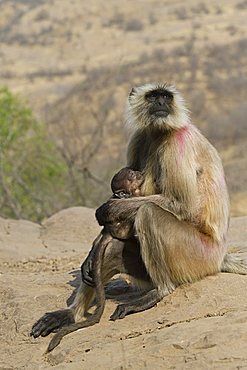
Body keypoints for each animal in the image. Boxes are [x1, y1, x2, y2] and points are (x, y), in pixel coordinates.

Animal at [30, 82, 247, 352]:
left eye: (166, 97)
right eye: (153, 97)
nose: (161, 104)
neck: (159, 132)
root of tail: (219, 257)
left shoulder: (179, 142)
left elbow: (183, 205)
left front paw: (107, 209)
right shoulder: (139, 137)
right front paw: (89, 256)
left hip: (197, 257)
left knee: (148, 213)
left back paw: (160, 292)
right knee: (113, 247)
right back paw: (71, 314)